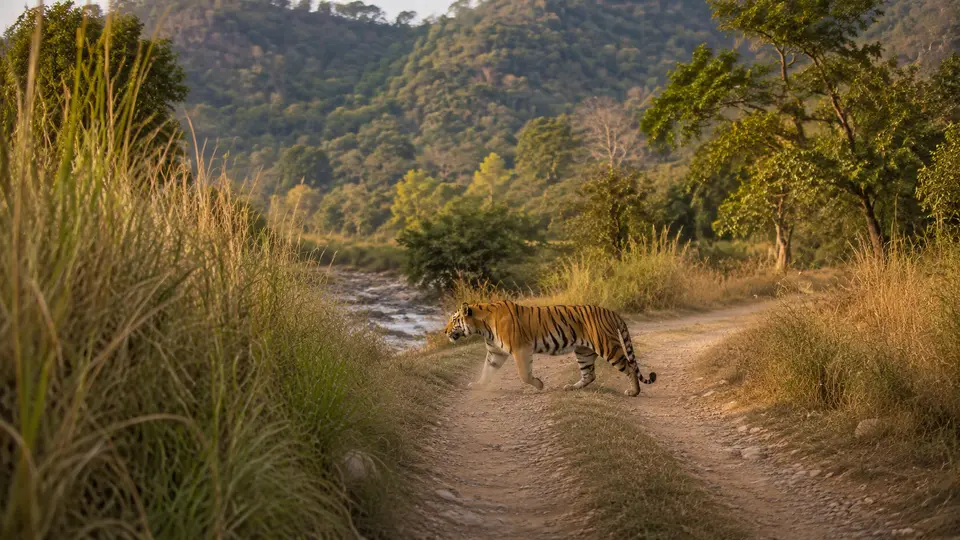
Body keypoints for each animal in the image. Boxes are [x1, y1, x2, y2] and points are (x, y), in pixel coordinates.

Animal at [444, 300, 657, 396]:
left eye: (454, 320)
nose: (445, 331)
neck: (482, 326)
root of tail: (612, 312)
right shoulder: (496, 352)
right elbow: (487, 370)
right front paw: (478, 385)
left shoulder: (521, 349)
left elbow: (524, 374)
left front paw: (539, 385)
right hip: (583, 351)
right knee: (590, 374)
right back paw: (571, 387)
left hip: (608, 346)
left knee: (630, 367)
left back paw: (633, 392)